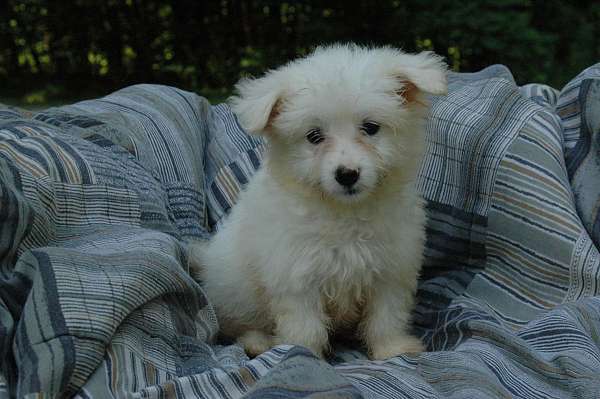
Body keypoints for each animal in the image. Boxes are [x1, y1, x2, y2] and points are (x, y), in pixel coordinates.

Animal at [191, 44, 446, 362]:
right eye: (314, 136)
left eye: (371, 127)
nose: (347, 174)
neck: (345, 212)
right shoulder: (297, 276)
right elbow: (305, 325)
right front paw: (302, 352)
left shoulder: (391, 269)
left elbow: (386, 315)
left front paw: (393, 349)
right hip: (236, 294)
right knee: (238, 326)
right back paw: (257, 342)